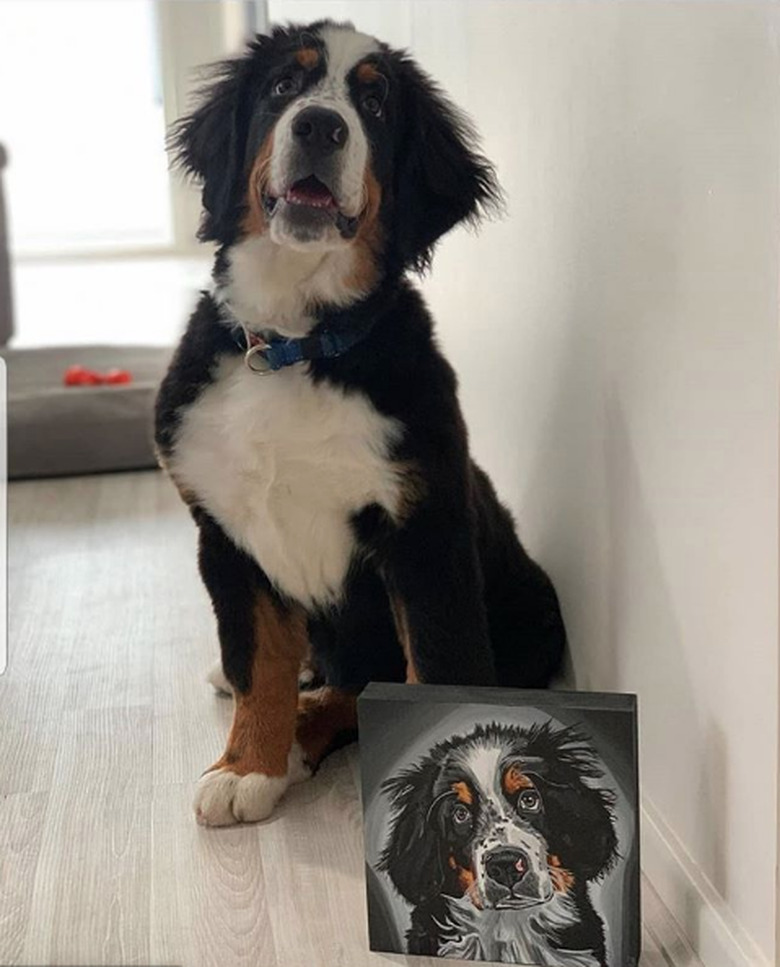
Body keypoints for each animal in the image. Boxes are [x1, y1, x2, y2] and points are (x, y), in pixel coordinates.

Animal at [154, 18, 568, 828]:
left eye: (375, 105)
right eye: (285, 85)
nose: (320, 124)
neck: (295, 344)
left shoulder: (424, 535)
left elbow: (434, 667)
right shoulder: (224, 533)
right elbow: (258, 662)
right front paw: (245, 762)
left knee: (362, 686)